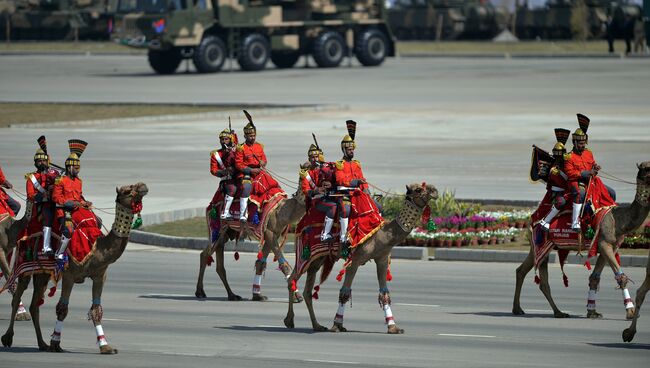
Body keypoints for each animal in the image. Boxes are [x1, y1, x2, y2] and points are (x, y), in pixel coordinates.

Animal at [0, 181, 147, 354]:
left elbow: (96, 310)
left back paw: (42, 344)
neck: (97, 247)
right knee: (17, 295)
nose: (143, 186)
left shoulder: (100, 275)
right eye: (127, 190)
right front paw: (56, 344)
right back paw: (8, 338)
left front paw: (106, 346)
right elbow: (62, 309)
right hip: (25, 263)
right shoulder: (69, 274)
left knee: (34, 304)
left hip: (42, 272)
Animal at [282, 183, 436, 334]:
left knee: (307, 290)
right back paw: (289, 320)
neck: (381, 235)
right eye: (418, 189)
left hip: (318, 258)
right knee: (292, 279)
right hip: (305, 254)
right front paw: (337, 325)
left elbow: (384, 293)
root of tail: (300, 222)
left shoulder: (382, 259)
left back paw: (317, 325)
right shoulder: (355, 260)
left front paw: (393, 327)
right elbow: (344, 292)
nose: (435, 191)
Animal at [512, 162, 648, 318]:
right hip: (540, 245)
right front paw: (631, 312)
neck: (618, 219)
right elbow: (620, 276)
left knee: (523, 271)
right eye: (648, 168)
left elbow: (595, 277)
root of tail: (530, 219)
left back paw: (523, 309)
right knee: (541, 279)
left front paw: (592, 311)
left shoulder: (610, 246)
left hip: (537, 247)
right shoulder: (604, 243)